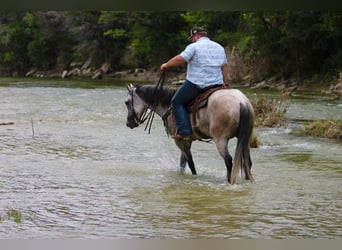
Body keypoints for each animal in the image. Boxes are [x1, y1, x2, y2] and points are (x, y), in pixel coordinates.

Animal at [125, 83, 254, 184]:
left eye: (126, 102)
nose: (128, 123)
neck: (169, 106)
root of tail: (242, 102)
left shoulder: (180, 141)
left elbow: (190, 164)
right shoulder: (185, 140)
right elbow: (183, 164)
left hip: (220, 140)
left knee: (228, 161)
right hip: (246, 139)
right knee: (248, 162)